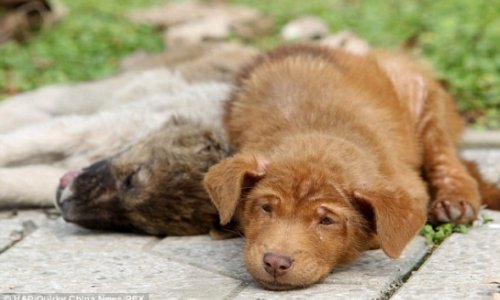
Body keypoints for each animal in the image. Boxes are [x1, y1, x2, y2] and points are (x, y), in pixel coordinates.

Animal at [202, 44, 480, 288]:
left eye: (326, 221)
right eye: (266, 208)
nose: (275, 263)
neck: (316, 129)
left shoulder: (409, 187)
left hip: (422, 97)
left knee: (444, 155)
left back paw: (454, 204)